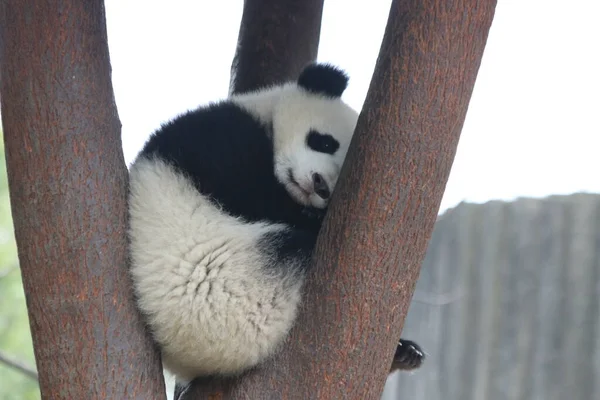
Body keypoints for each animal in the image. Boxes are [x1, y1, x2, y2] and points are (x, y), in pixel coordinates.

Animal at [128, 62, 424, 384]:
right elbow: (248, 191)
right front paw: (309, 216)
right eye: (325, 142)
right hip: (225, 288)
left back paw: (404, 353)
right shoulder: (214, 137)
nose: (320, 186)